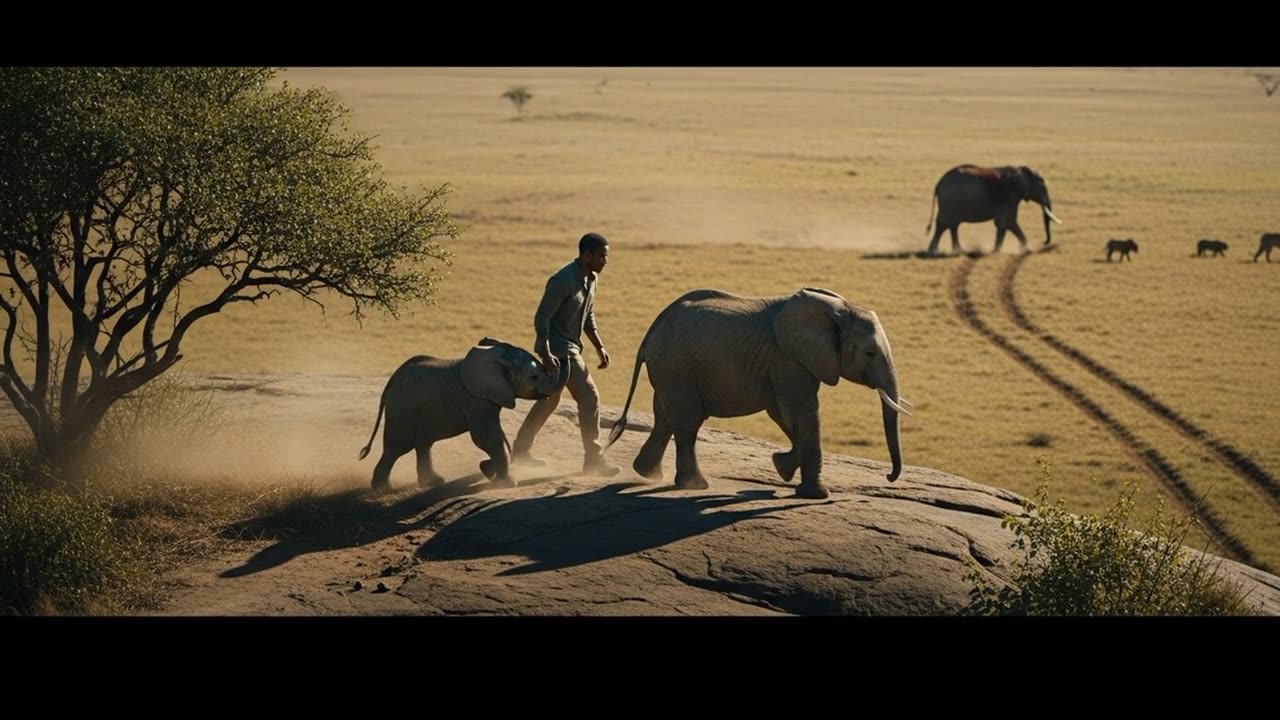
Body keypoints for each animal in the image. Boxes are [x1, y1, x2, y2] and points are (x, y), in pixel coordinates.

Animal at [357, 337, 570, 491]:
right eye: (534, 377)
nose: (561, 356)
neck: (499, 357)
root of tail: (391, 380)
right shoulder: (476, 399)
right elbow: (487, 437)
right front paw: (505, 484)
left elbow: (495, 436)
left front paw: (488, 470)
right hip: (402, 408)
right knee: (398, 447)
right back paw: (383, 489)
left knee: (424, 445)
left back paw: (433, 482)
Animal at [605, 287, 909, 500]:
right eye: (869, 353)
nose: (889, 477)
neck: (837, 310)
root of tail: (650, 334)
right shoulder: (789, 359)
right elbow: (802, 411)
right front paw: (815, 494)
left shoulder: (786, 364)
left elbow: (783, 415)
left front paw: (782, 467)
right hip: (677, 367)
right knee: (687, 423)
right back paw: (695, 485)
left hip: (670, 370)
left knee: (665, 417)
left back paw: (648, 473)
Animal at [925, 164, 1061, 254]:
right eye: (1043, 190)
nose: (1044, 242)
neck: (1020, 171)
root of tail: (939, 182)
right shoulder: (1009, 196)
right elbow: (1006, 223)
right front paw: (997, 251)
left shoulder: (1012, 198)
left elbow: (1008, 224)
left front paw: (1024, 249)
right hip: (949, 201)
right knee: (944, 224)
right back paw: (933, 251)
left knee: (953, 224)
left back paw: (958, 250)